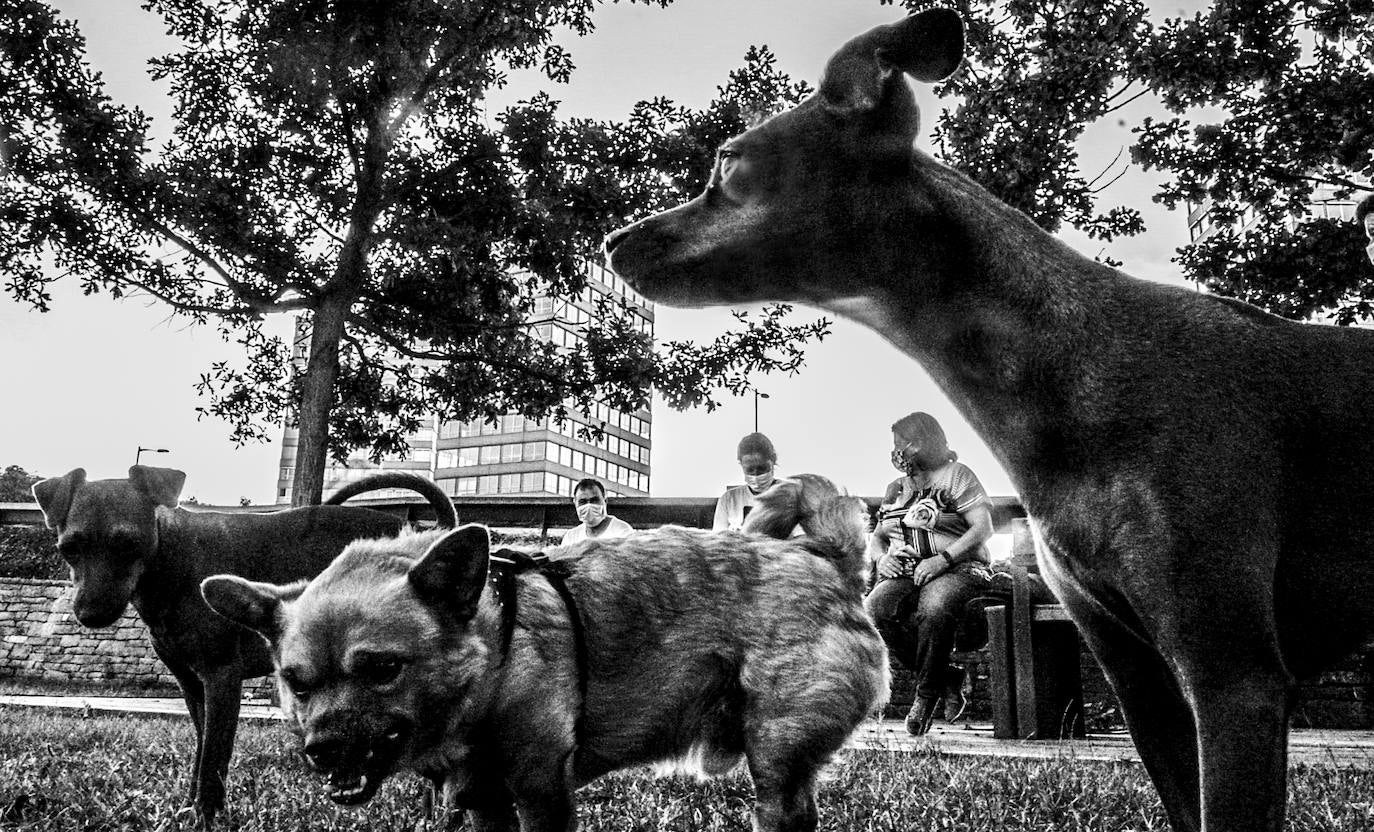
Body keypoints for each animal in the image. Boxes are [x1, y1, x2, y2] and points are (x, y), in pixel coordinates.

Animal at [30, 469, 456, 829]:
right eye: (68, 548)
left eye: (128, 543)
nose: (90, 613)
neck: (173, 561)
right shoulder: (192, 686)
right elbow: (202, 750)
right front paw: (190, 808)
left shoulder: (222, 677)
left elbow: (214, 758)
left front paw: (205, 816)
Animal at [200, 472, 890, 829]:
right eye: (297, 683)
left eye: (383, 670)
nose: (321, 750)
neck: (493, 652)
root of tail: (826, 558)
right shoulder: (484, 804)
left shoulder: (540, 793)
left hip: (775, 761)